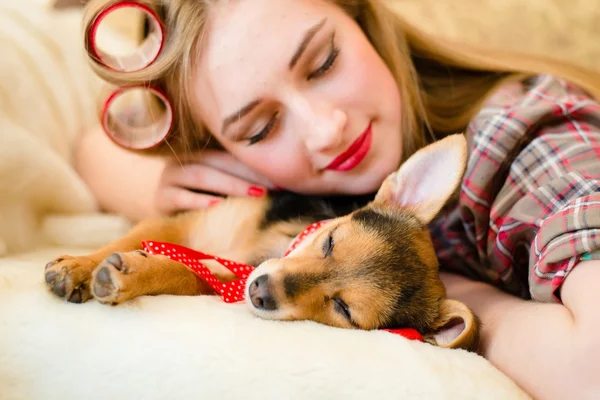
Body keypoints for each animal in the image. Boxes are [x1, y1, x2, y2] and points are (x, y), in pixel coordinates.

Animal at [44, 134, 480, 350]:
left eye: (343, 310)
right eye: (330, 241)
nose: (260, 292)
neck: (262, 252)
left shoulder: (223, 279)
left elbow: (182, 271)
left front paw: (131, 273)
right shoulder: (184, 223)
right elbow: (135, 237)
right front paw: (78, 267)